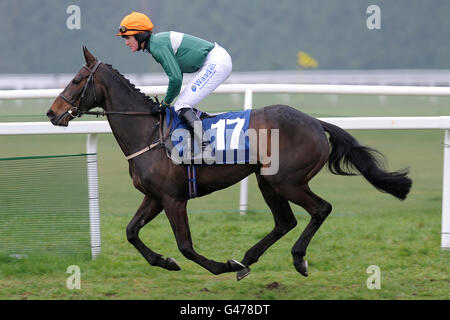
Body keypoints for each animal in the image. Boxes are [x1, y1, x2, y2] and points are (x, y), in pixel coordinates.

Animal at [45, 47, 412, 280]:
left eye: (76, 80)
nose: (51, 112)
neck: (147, 133)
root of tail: (316, 122)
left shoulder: (173, 199)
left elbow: (186, 246)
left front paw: (219, 265)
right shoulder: (154, 196)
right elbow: (131, 232)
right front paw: (164, 261)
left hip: (286, 180)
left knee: (320, 209)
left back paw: (296, 259)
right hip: (267, 180)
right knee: (285, 221)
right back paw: (248, 259)